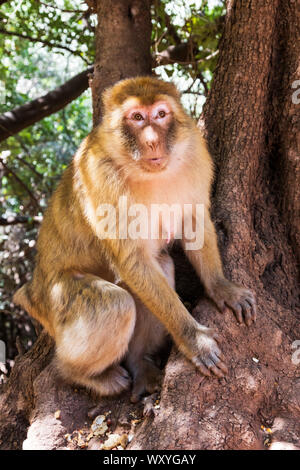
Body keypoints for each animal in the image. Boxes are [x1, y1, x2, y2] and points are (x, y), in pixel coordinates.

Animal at [13, 75, 255, 402]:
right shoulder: (100, 175)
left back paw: (141, 365)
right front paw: (194, 339)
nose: (152, 140)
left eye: (161, 114)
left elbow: (194, 221)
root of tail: (33, 290)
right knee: (116, 304)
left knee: (160, 265)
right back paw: (82, 375)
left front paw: (221, 287)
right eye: (138, 117)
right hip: (56, 303)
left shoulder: (196, 155)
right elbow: (132, 260)